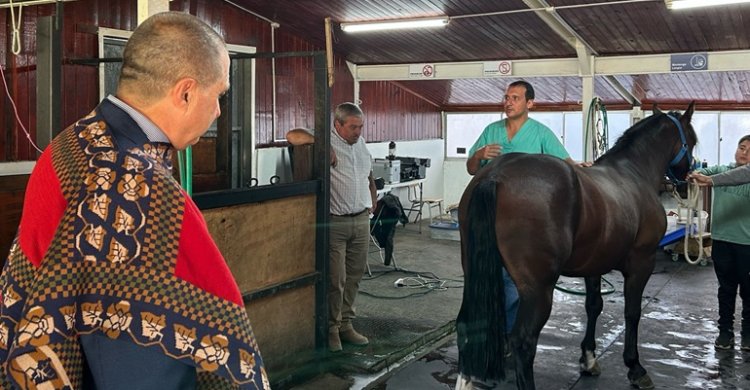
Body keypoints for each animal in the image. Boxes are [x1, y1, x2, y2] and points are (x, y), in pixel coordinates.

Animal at [458, 103, 700, 390]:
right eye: (692, 140)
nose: (687, 183)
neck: (633, 173)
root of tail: (496, 176)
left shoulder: (594, 265)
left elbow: (593, 305)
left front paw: (589, 358)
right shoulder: (642, 262)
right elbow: (632, 312)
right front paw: (635, 367)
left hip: (475, 273)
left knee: (466, 326)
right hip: (538, 289)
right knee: (523, 342)